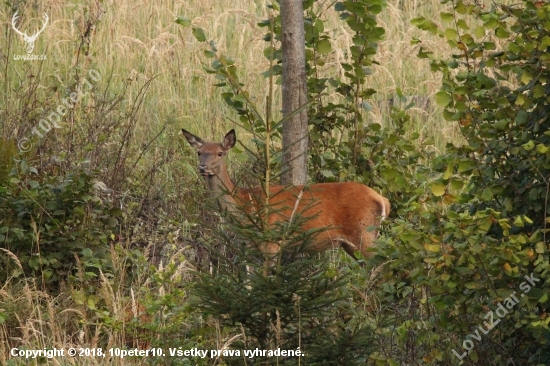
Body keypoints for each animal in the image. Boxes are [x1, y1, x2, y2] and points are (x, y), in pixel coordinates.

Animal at [183, 128, 390, 260]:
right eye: (199, 152)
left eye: (219, 153)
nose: (203, 168)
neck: (245, 204)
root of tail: (382, 199)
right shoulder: (251, 247)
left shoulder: (272, 242)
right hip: (352, 244)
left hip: (365, 233)